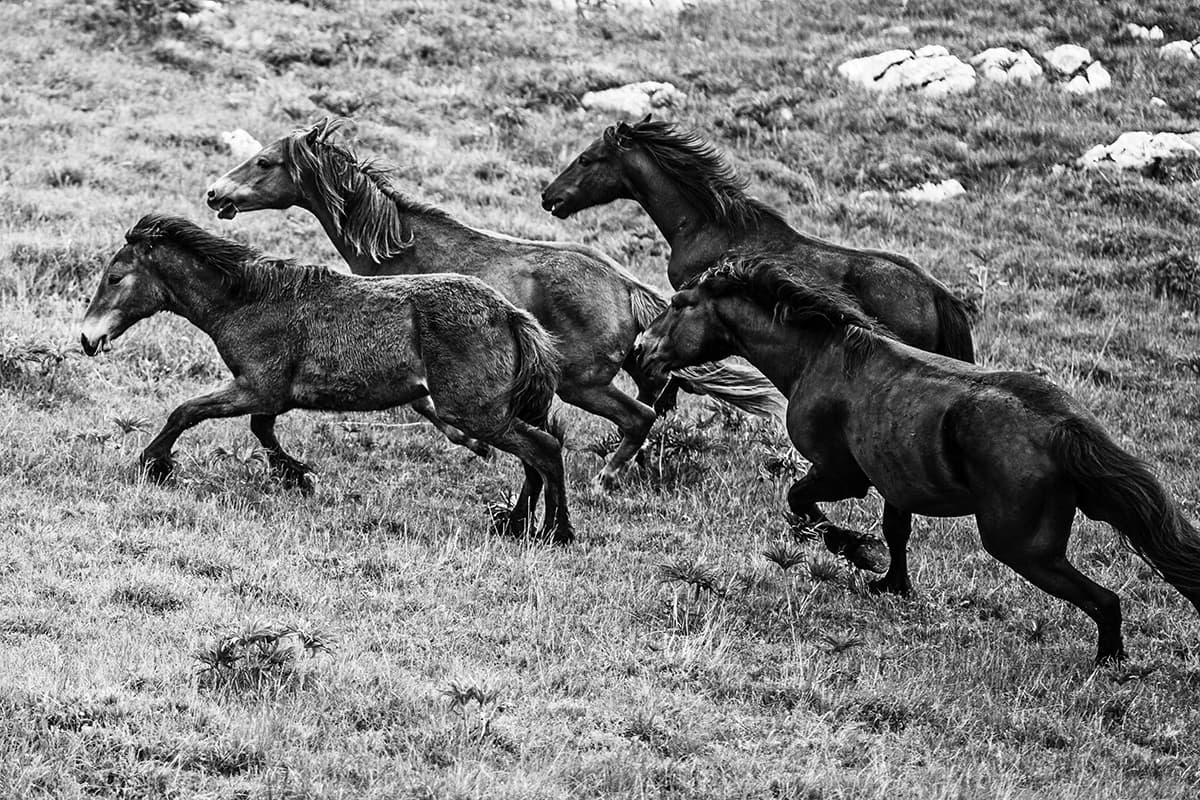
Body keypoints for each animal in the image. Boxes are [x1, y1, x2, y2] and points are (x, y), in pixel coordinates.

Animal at [79, 214, 573, 543]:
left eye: (115, 277)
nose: (87, 338)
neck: (248, 301)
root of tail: (510, 314)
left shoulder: (256, 388)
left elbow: (186, 411)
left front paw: (154, 463)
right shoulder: (267, 396)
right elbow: (261, 431)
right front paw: (296, 475)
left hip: (474, 413)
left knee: (544, 450)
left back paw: (557, 530)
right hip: (495, 411)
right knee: (535, 457)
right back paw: (517, 524)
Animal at [204, 117, 785, 490]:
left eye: (264, 161)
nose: (214, 194)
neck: (404, 246)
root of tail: (624, 286)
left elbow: (428, 408)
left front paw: (476, 442)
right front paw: (477, 441)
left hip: (582, 382)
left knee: (640, 416)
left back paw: (606, 478)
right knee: (654, 401)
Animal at [638, 254, 1200, 662]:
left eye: (679, 302)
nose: (643, 349)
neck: (822, 357)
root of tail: (1063, 427)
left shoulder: (841, 474)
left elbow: (801, 507)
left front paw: (856, 550)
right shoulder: (895, 483)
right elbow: (895, 533)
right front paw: (892, 584)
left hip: (1022, 548)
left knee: (1105, 601)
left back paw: (1109, 665)